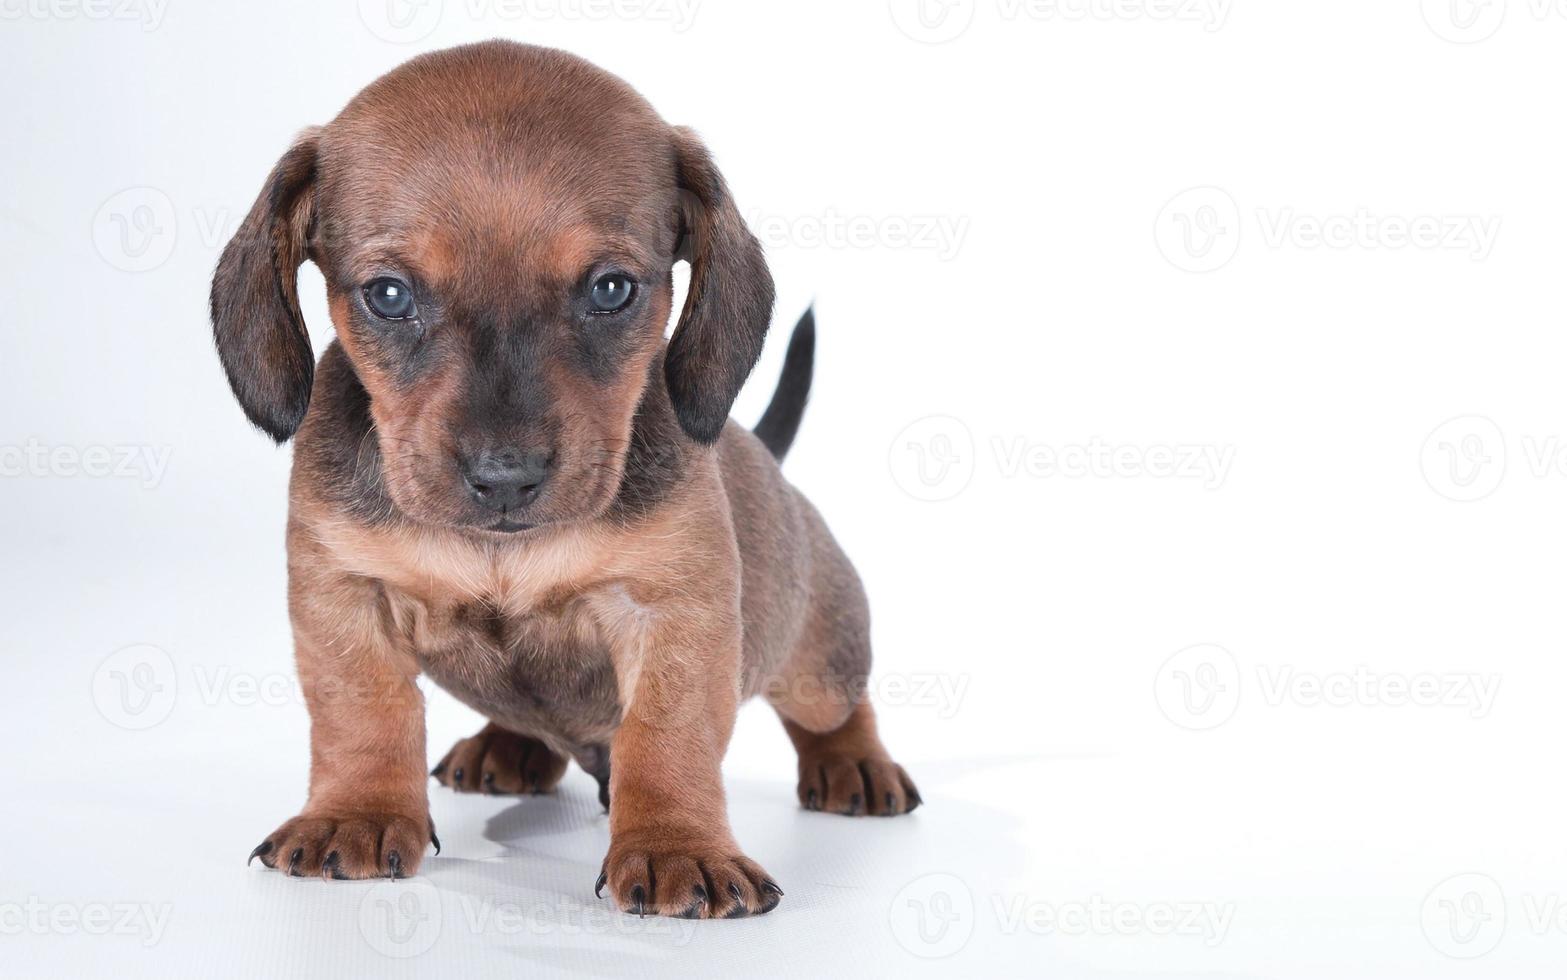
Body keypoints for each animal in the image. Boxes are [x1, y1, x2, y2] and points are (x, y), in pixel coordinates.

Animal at [209, 40, 915, 915]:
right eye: (388, 295)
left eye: (610, 289)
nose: (504, 477)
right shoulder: (343, 593)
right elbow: (361, 711)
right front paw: (357, 812)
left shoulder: (672, 612)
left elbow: (666, 735)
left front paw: (677, 845)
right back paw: (506, 745)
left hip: (816, 656)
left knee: (837, 707)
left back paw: (853, 762)